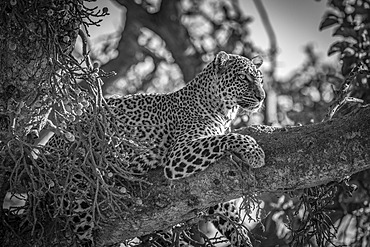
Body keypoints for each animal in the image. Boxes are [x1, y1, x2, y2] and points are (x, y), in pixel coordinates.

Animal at [47, 51, 266, 246]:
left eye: (260, 80)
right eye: (243, 77)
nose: (262, 96)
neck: (224, 111)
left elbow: (229, 216)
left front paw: (243, 240)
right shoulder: (178, 155)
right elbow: (227, 137)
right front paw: (254, 152)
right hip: (78, 193)